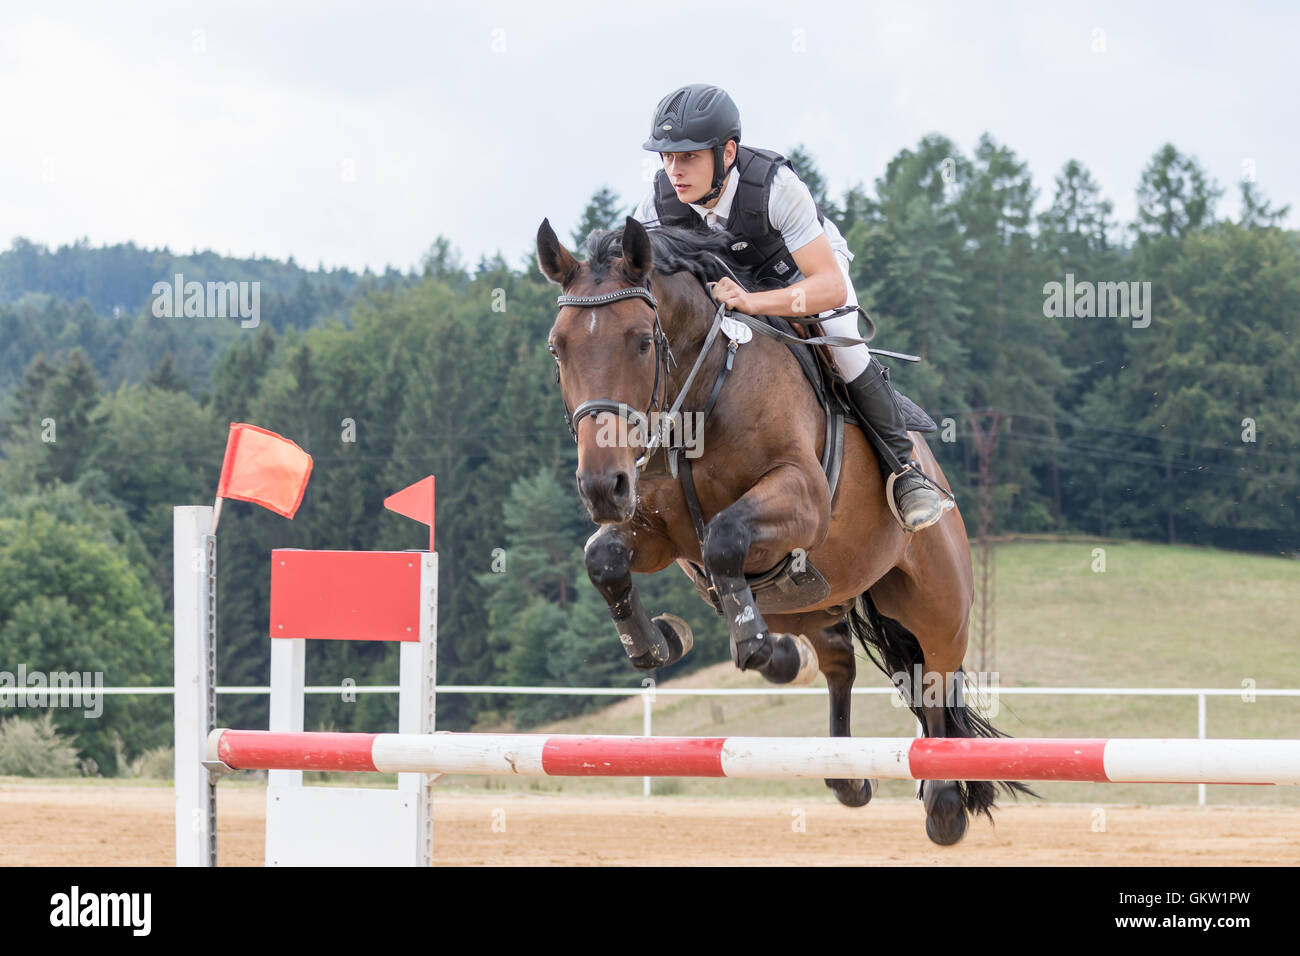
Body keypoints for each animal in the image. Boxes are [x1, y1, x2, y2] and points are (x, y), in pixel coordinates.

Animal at [533, 214, 1029, 842]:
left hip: (937, 600)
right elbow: (604, 560)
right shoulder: (657, 532)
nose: (602, 487)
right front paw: (662, 640)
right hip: (819, 598)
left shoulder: (804, 500)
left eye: (642, 341)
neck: (700, 395)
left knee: (936, 677)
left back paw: (942, 800)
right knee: (839, 657)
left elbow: (725, 537)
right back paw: (843, 770)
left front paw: (752, 644)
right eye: (558, 348)